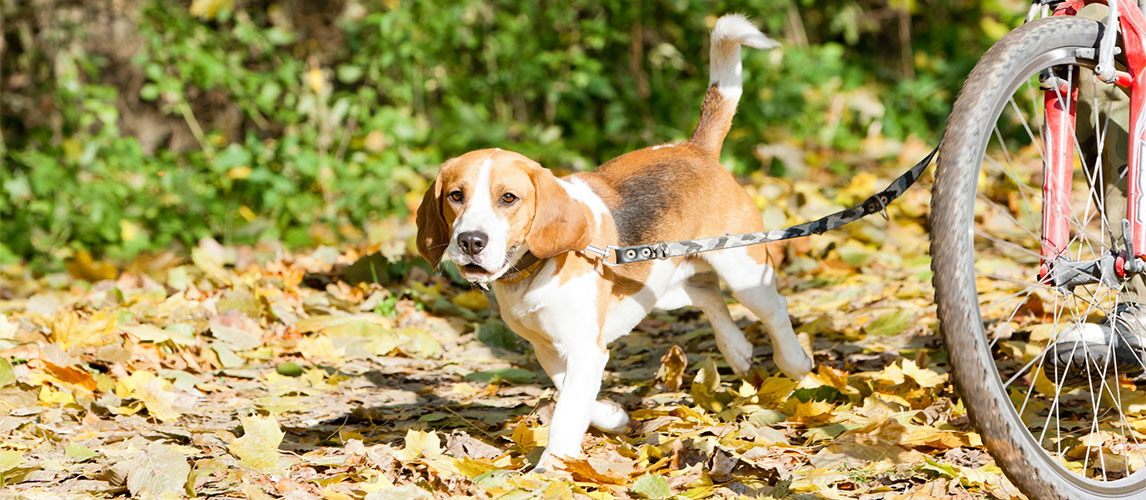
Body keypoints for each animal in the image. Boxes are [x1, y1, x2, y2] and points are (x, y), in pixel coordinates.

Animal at [417, 15, 811, 467]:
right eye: (455, 195)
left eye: (508, 198)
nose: (470, 241)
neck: (531, 273)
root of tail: (695, 149)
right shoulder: (550, 347)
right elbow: (569, 390)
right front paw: (611, 416)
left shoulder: (584, 348)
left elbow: (567, 411)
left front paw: (551, 466)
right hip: (665, 278)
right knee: (710, 297)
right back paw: (737, 350)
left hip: (743, 268)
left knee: (774, 309)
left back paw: (795, 362)